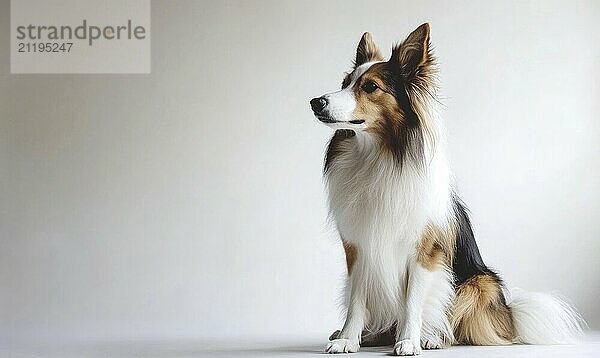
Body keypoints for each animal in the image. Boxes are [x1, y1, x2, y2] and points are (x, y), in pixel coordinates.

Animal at [312, 23, 584, 356]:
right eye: (345, 83)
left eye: (371, 87)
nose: (315, 102)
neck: (379, 157)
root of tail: (507, 317)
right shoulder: (360, 246)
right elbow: (356, 299)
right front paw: (348, 339)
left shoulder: (425, 251)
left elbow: (413, 301)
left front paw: (409, 340)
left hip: (480, 283)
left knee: (452, 322)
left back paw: (431, 338)